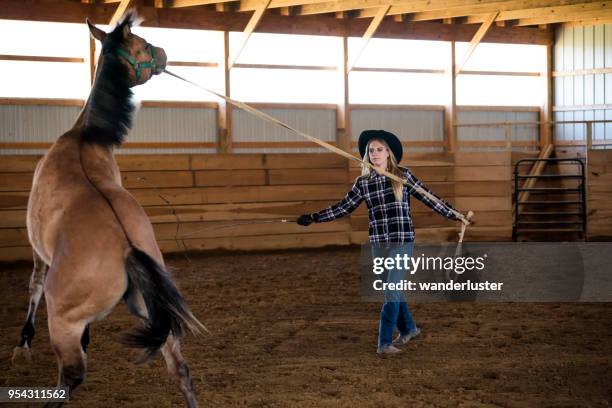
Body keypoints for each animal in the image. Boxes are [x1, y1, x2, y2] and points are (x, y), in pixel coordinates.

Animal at [10, 11, 206, 406]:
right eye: (143, 43)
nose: (165, 53)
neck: (86, 138)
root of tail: (129, 248)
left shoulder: (38, 250)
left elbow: (33, 285)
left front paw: (23, 345)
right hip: (154, 313)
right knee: (180, 368)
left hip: (64, 322)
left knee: (70, 375)